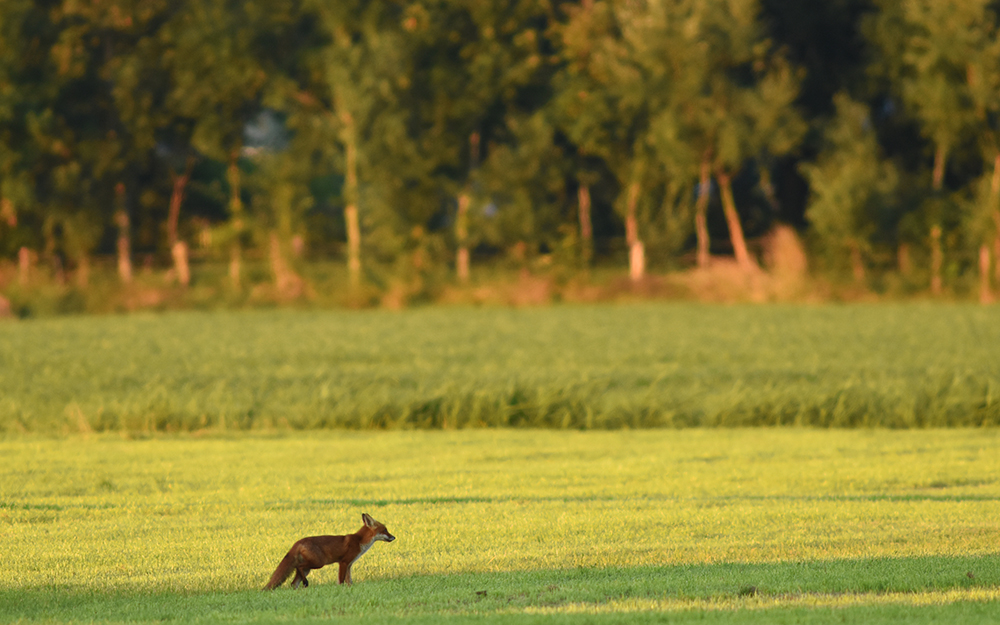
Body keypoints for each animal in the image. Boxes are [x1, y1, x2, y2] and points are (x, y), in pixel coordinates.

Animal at [262, 512, 394, 588]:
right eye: (385, 530)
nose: (394, 537)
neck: (359, 541)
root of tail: (298, 542)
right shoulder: (343, 562)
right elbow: (341, 580)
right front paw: (340, 589)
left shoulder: (349, 565)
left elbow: (349, 581)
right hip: (318, 563)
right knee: (298, 567)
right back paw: (306, 583)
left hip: (308, 569)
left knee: (293, 583)